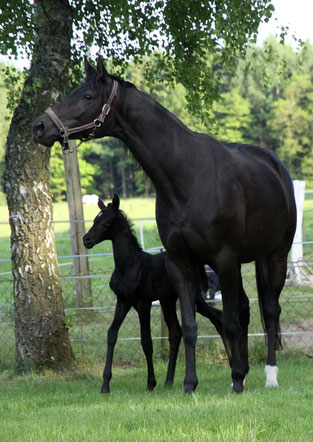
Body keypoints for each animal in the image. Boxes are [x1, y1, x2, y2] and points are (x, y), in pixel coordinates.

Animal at [83, 195, 227, 392]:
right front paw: (105, 385)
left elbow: (147, 342)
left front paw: (150, 383)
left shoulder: (142, 304)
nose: (86, 239)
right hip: (168, 301)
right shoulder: (123, 301)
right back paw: (168, 381)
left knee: (216, 317)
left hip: (194, 298)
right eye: (95, 219)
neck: (128, 266)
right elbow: (111, 334)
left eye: (108, 221)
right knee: (176, 332)